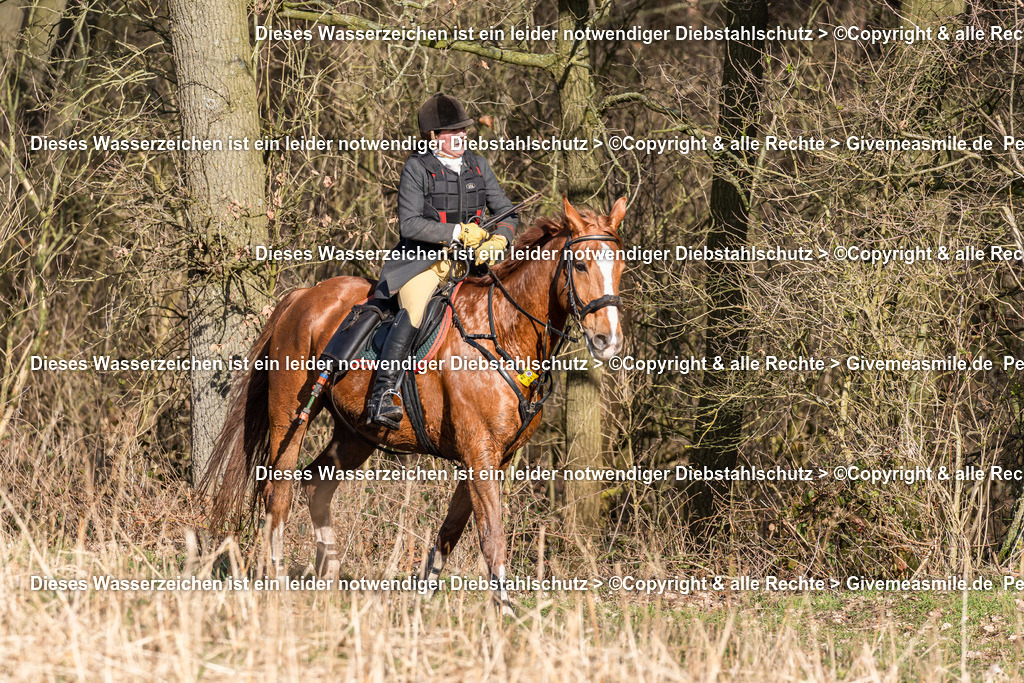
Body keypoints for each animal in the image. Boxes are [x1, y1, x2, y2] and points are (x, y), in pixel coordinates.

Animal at [204, 194, 626, 610]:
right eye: (580, 265)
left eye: (621, 266)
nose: (608, 341)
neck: (503, 331)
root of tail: (302, 297)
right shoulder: (479, 454)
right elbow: (491, 534)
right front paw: (505, 612)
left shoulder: (495, 458)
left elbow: (451, 530)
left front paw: (423, 601)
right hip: (290, 418)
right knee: (278, 493)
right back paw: (277, 579)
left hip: (356, 435)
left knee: (316, 483)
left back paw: (329, 570)